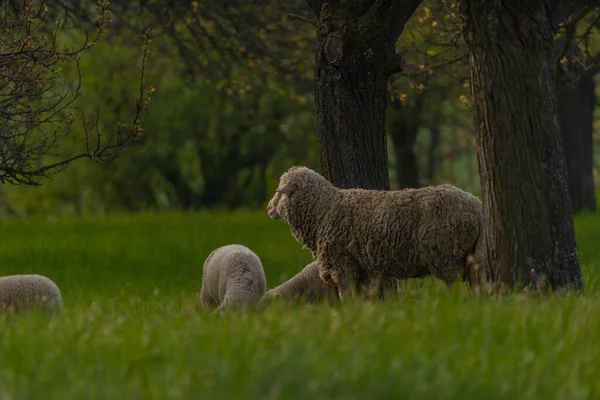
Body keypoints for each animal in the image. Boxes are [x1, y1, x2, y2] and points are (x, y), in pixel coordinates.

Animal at [266, 166, 482, 300]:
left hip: (447, 257)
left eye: (279, 192)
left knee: (453, 287)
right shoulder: (359, 269)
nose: (268, 208)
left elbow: (347, 298)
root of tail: (476, 204)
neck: (323, 210)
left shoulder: (342, 266)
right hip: (467, 256)